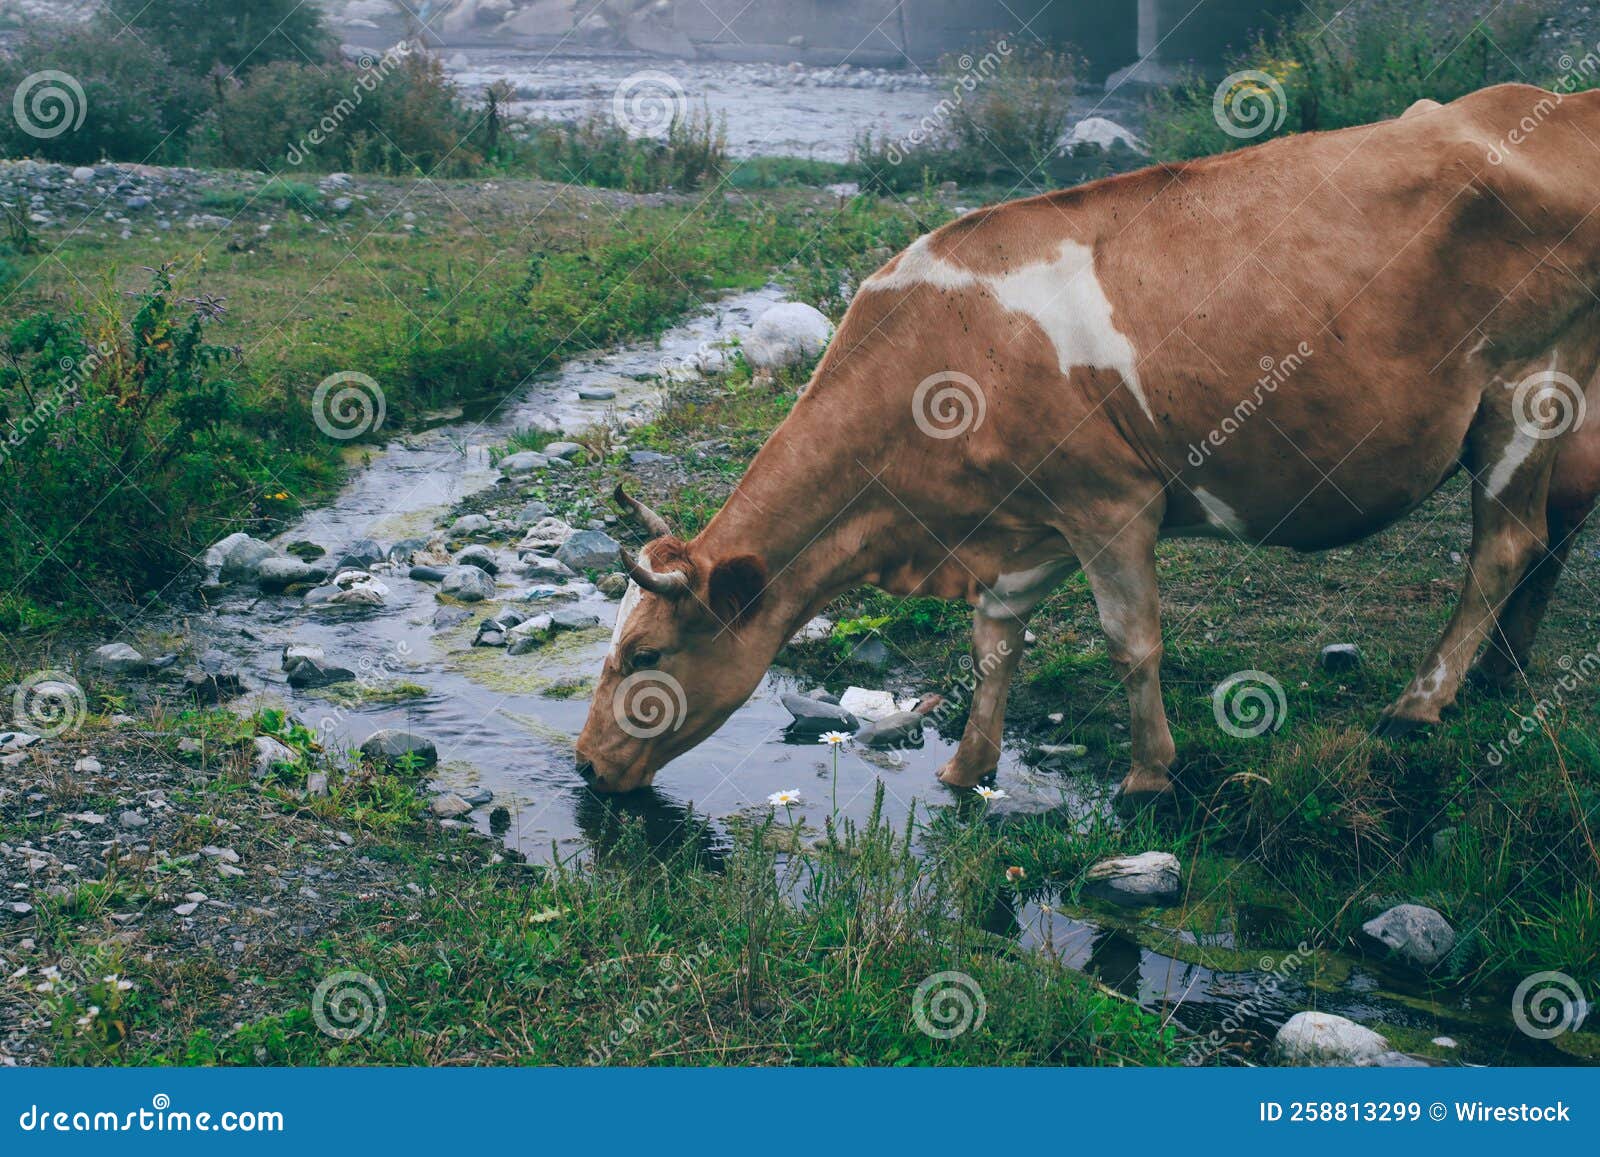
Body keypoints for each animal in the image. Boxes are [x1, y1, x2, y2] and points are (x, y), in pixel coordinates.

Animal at [576, 83, 1600, 806]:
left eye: (646, 656)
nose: (585, 765)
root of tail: (1551, 103)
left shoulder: (1111, 500)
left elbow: (1130, 641)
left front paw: (1148, 775)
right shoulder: (1025, 522)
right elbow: (993, 641)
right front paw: (966, 769)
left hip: (1527, 385)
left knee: (1506, 544)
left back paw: (1421, 702)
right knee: (1554, 530)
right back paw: (1499, 676)